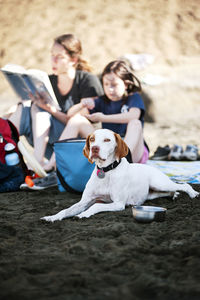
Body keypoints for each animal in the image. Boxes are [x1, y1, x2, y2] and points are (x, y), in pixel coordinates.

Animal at [41, 127, 199, 221]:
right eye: (92, 139)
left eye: (107, 140)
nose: (94, 148)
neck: (106, 171)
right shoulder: (84, 201)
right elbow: (66, 210)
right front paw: (52, 217)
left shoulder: (118, 203)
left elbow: (96, 206)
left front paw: (83, 214)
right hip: (153, 193)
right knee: (169, 192)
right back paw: (174, 195)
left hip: (160, 183)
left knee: (183, 185)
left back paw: (192, 194)